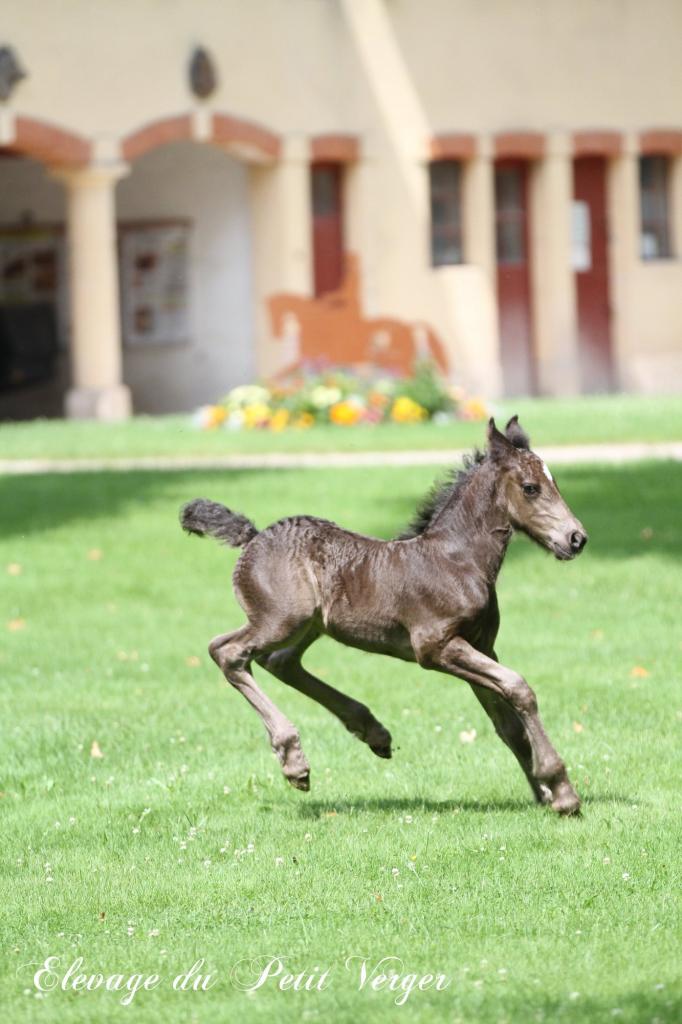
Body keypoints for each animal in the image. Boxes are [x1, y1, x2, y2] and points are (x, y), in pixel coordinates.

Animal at [180, 415, 585, 815]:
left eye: (554, 482)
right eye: (531, 488)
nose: (577, 539)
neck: (457, 560)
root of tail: (252, 536)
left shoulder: (481, 645)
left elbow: (508, 725)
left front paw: (545, 792)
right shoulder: (435, 647)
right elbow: (519, 688)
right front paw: (562, 790)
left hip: (309, 625)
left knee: (278, 661)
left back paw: (371, 731)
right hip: (282, 620)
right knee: (228, 651)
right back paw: (295, 761)